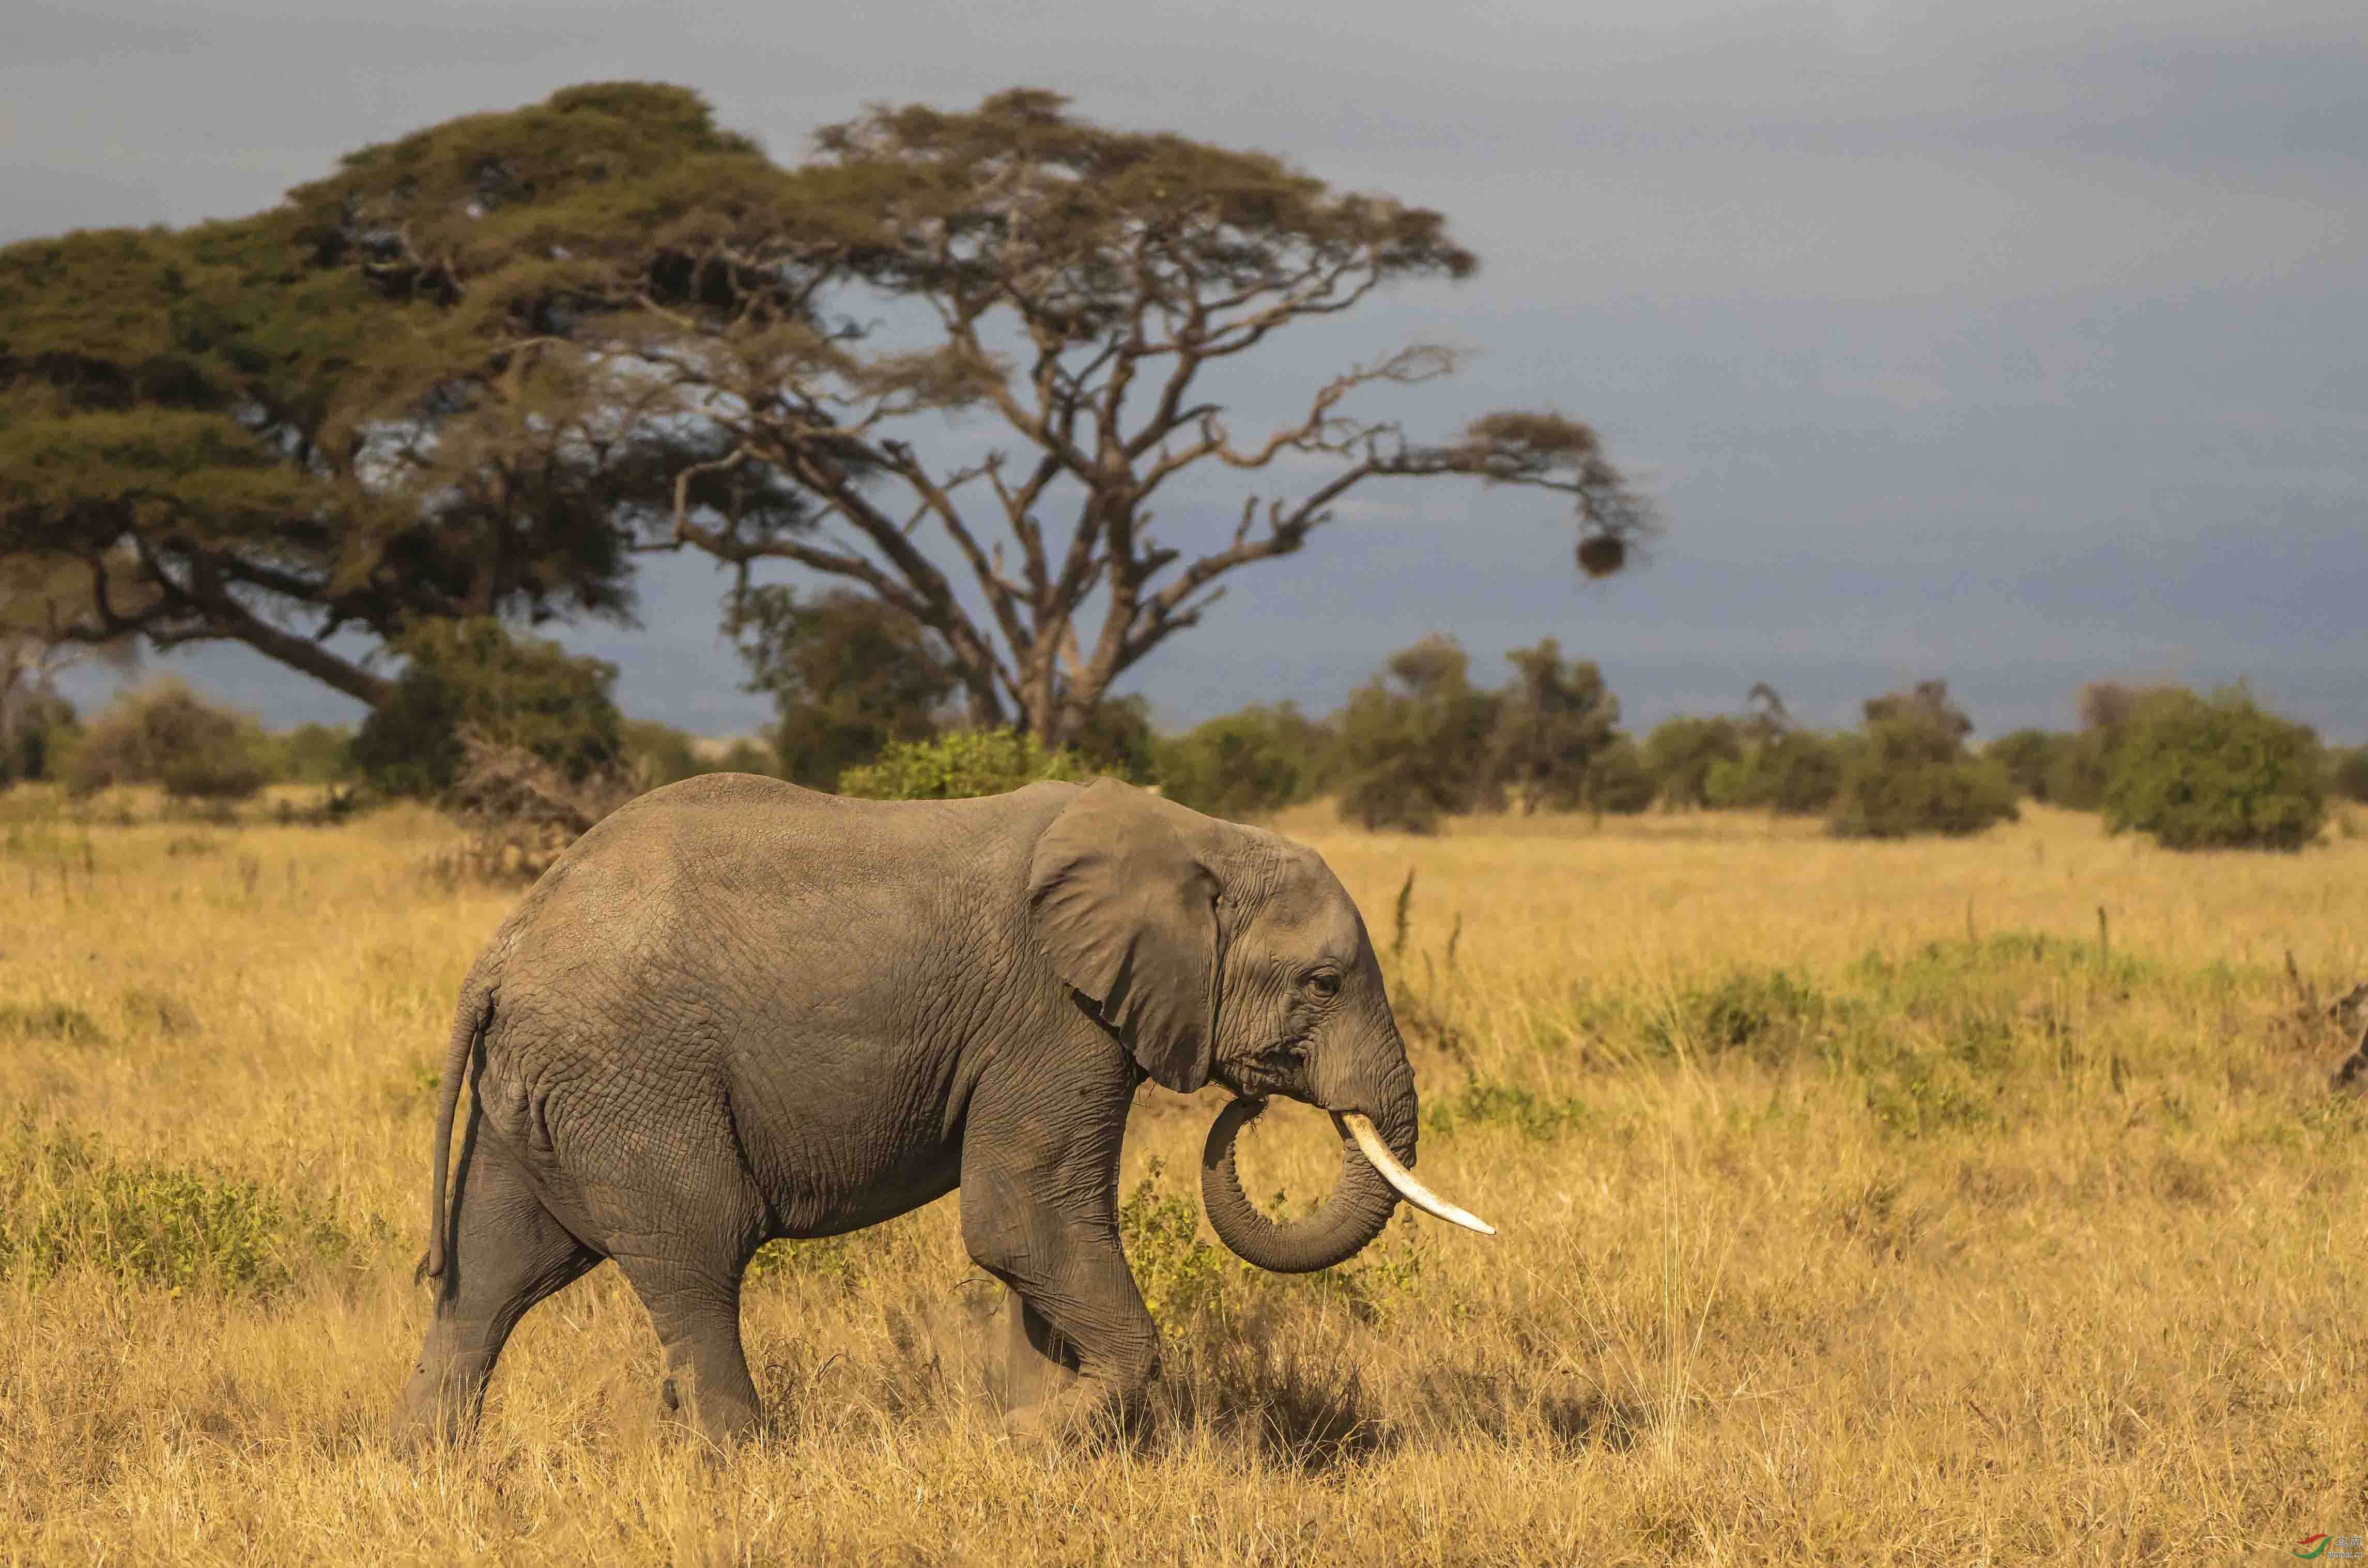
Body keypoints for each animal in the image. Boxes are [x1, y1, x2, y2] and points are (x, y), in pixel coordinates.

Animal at [402, 772, 1478, 1449]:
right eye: (1323, 981)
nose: (1249, 1102)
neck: (1197, 835)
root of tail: (500, 952)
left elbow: (1043, 1239)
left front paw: (1050, 1437)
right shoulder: (1050, 1014)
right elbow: (1021, 1222)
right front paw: (1027, 1435)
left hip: (543, 1090)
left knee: (490, 1275)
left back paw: (434, 1467)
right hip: (634, 1076)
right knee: (700, 1253)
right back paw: (746, 1463)